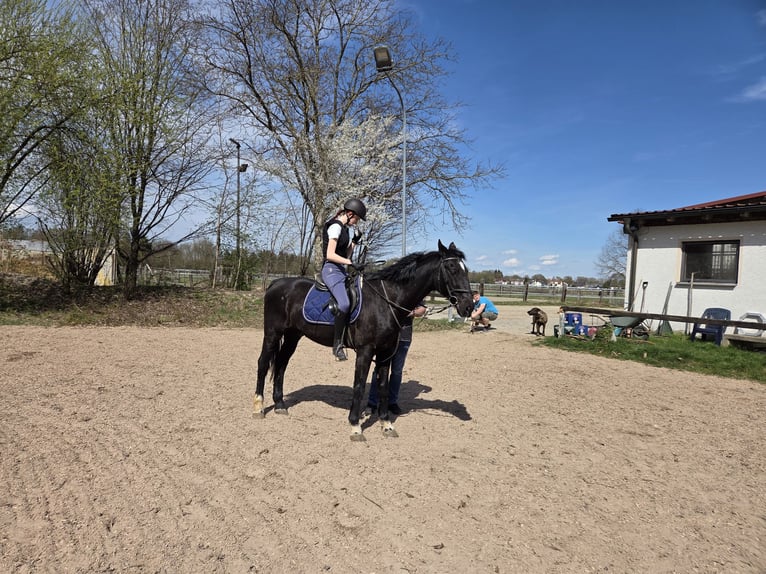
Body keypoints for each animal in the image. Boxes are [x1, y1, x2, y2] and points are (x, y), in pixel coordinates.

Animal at [254, 240, 474, 441]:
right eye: (452, 268)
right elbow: (359, 385)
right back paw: (258, 406)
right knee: (263, 363)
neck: (386, 301)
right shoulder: (365, 351)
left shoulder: (386, 353)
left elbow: (384, 386)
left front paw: (386, 424)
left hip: (293, 335)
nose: (469, 306)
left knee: (281, 364)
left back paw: (280, 405)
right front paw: (355, 425)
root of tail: (276, 284)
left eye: (466, 270)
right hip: (272, 333)